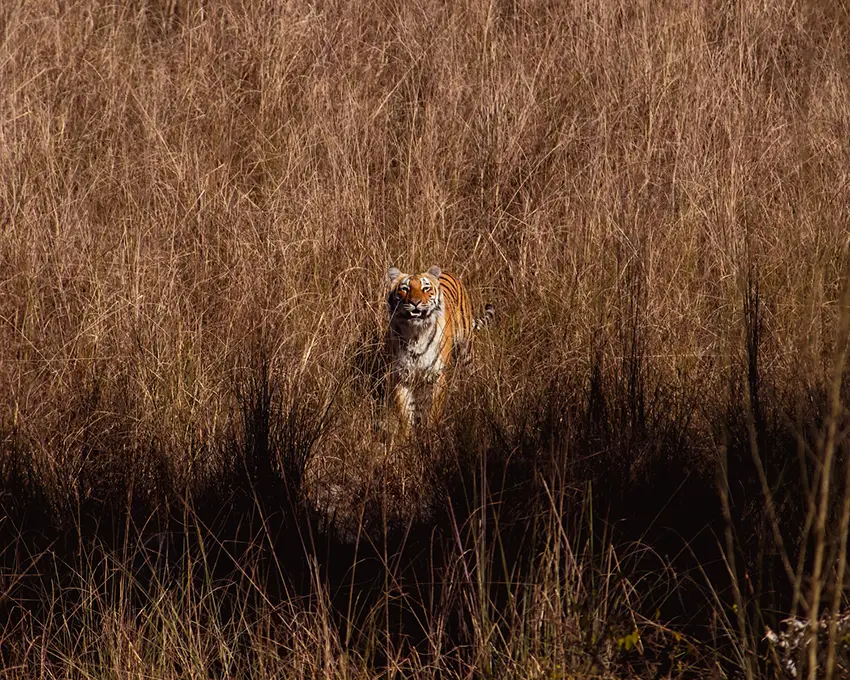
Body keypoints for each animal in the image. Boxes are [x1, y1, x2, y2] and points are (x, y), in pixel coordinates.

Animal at [386, 265, 494, 440]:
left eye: (425, 288)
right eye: (405, 289)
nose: (415, 303)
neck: (415, 334)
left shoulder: (437, 375)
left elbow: (434, 410)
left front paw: (431, 435)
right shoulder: (402, 376)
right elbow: (405, 414)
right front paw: (406, 440)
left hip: (466, 348)